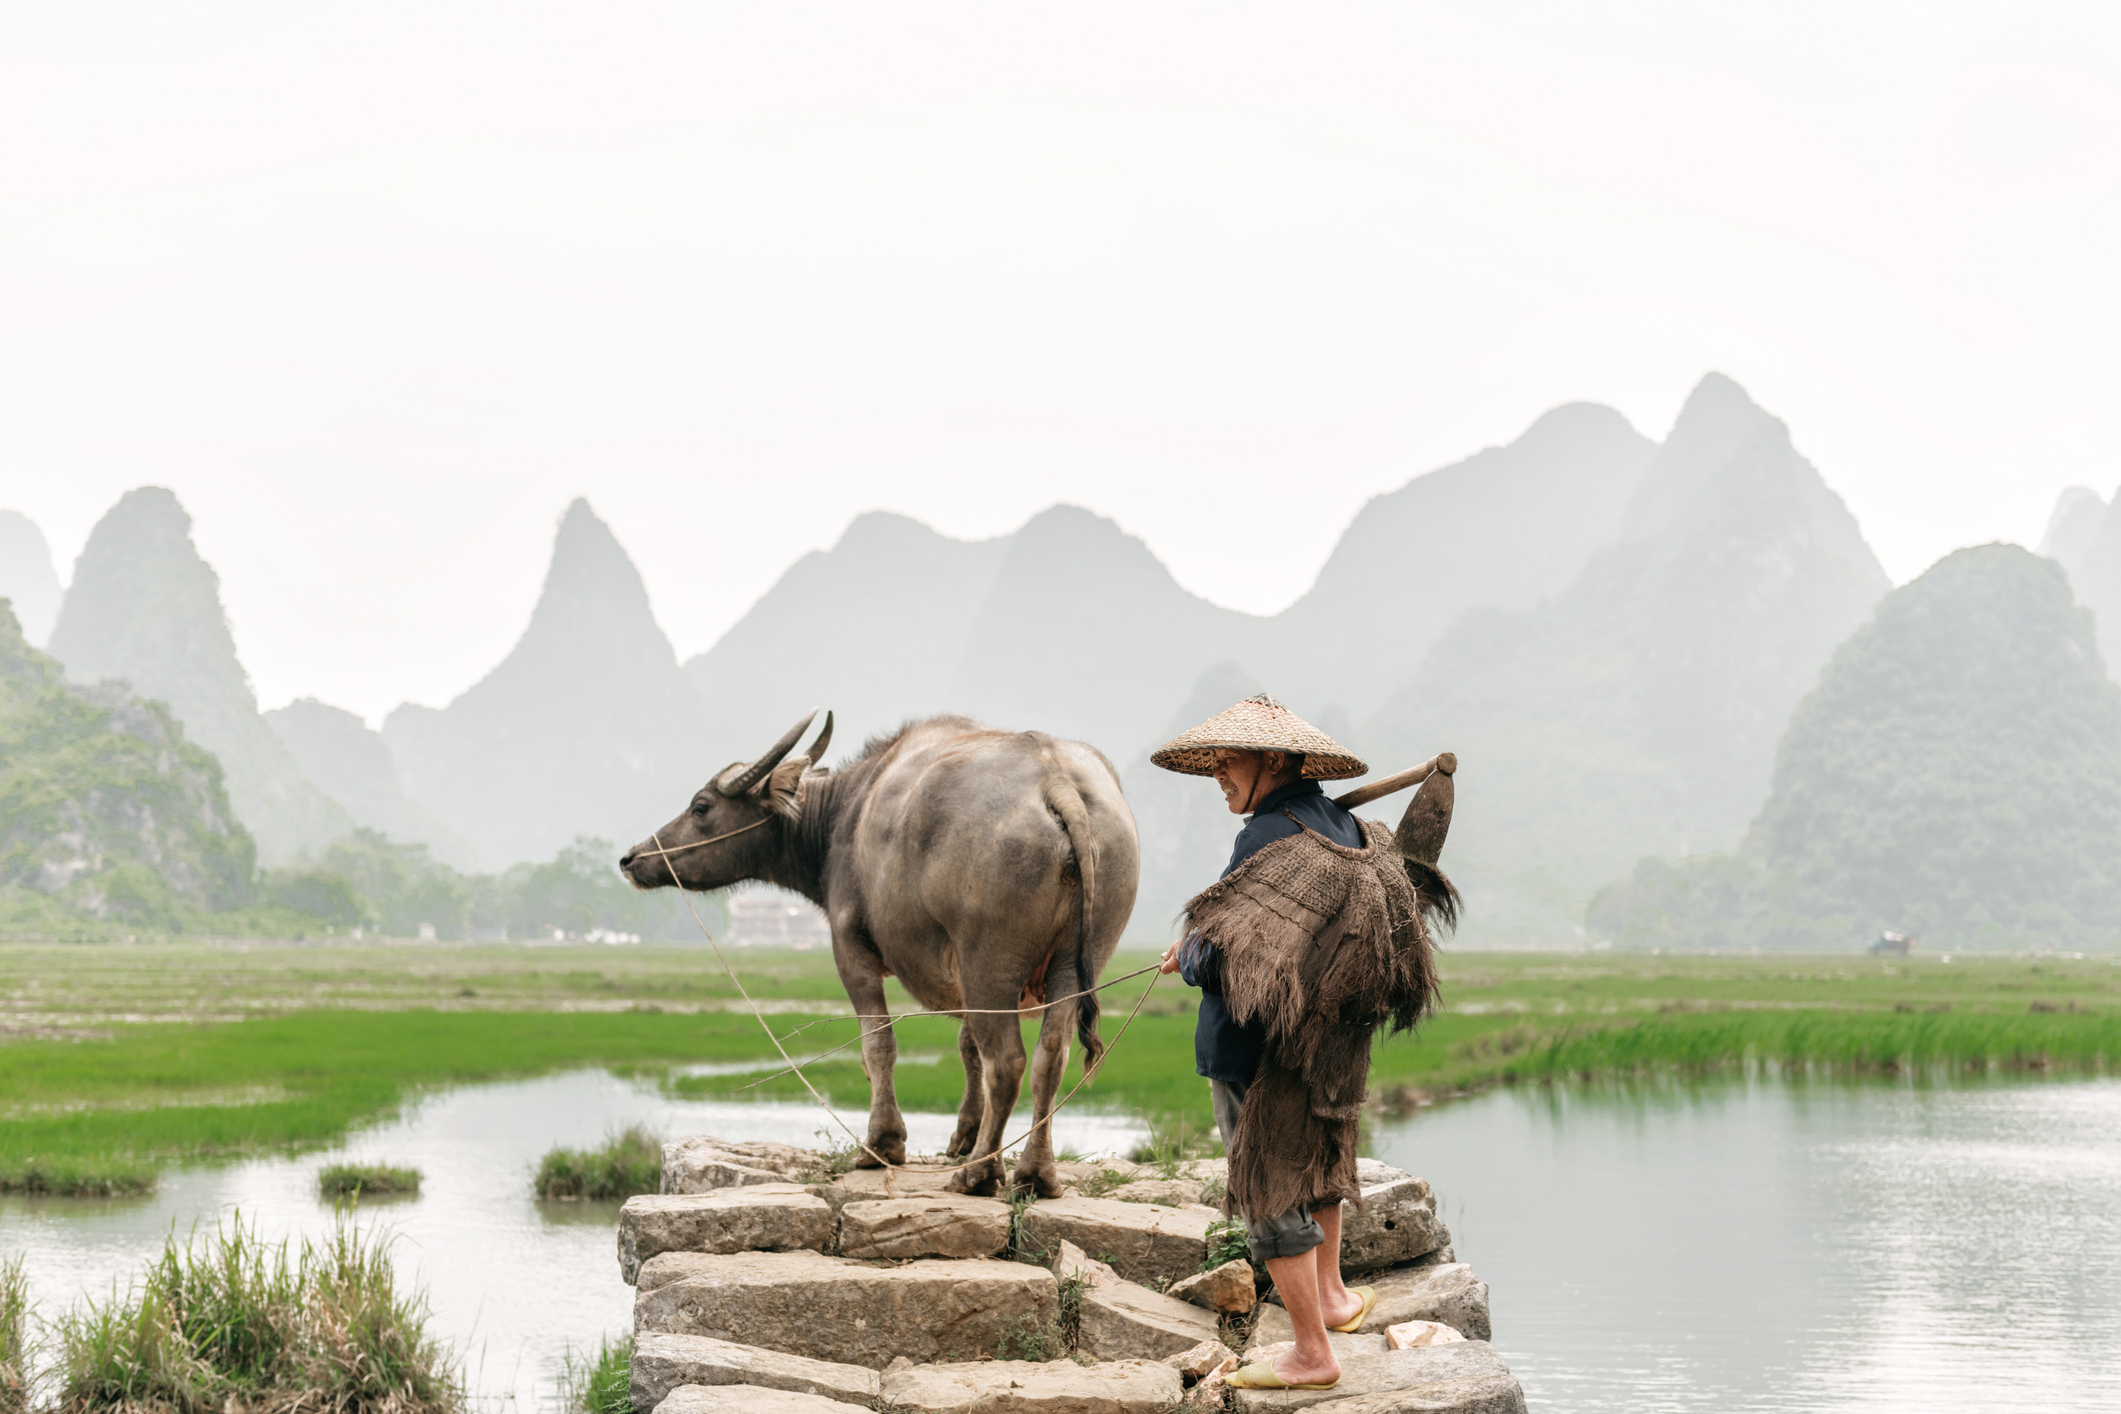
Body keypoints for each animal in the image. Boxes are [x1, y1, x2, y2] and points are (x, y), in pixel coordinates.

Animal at [620, 710, 1139, 1196]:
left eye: (701, 806)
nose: (632, 858)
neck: (844, 813)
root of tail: (1056, 782)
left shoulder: (851, 949)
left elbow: (878, 1045)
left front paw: (882, 1143)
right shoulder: (958, 974)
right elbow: (966, 1045)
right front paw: (962, 1136)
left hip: (989, 962)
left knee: (1007, 1061)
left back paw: (979, 1174)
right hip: (1078, 960)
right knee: (1051, 1056)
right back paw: (1035, 1173)